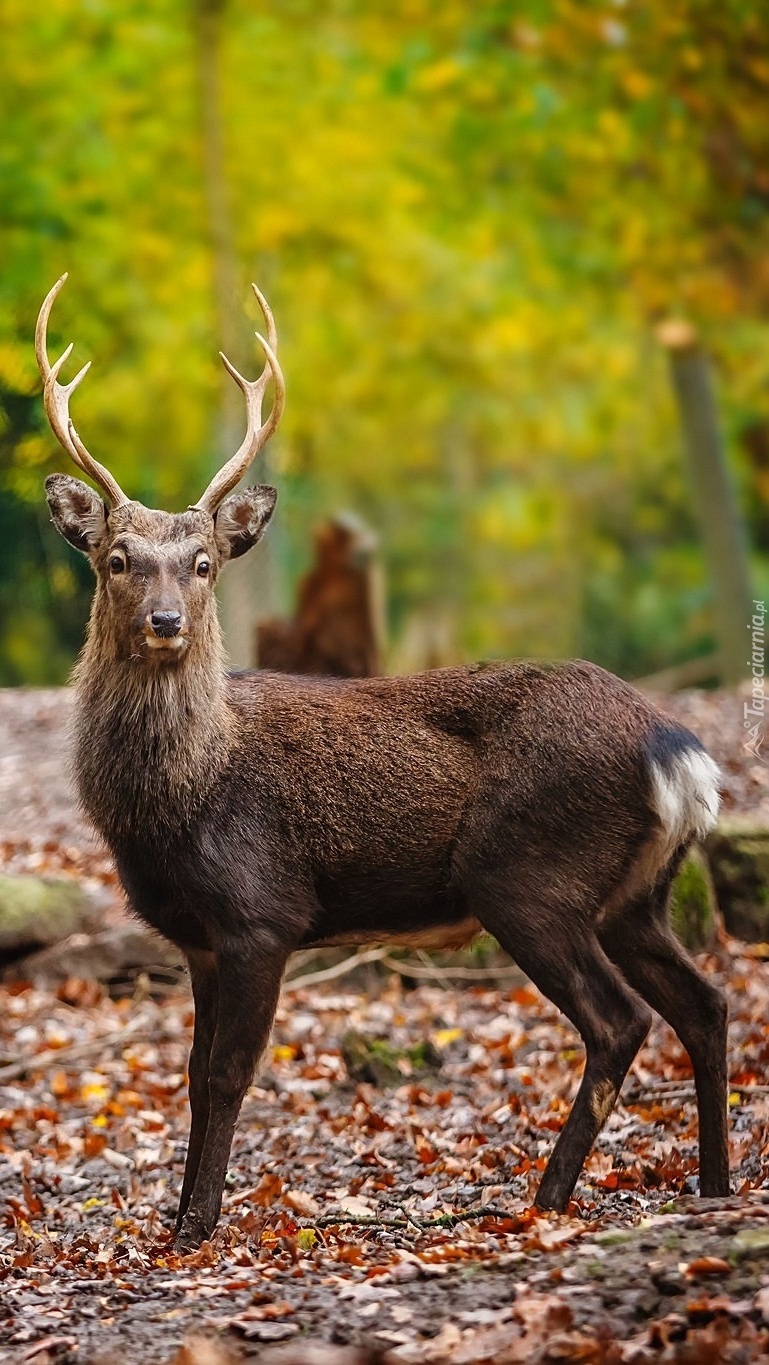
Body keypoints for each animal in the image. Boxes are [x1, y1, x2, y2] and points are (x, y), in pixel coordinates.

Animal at [36, 274, 732, 1250]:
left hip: (528, 876)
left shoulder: (262, 913)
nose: (166, 621)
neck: (182, 796)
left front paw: (196, 1228)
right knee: (704, 1003)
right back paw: (712, 1181)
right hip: (638, 891)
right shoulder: (198, 938)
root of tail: (673, 747)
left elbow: (225, 1074)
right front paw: (176, 1218)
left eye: (204, 562)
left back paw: (545, 1198)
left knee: (618, 1019)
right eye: (116, 559)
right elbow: (189, 1076)